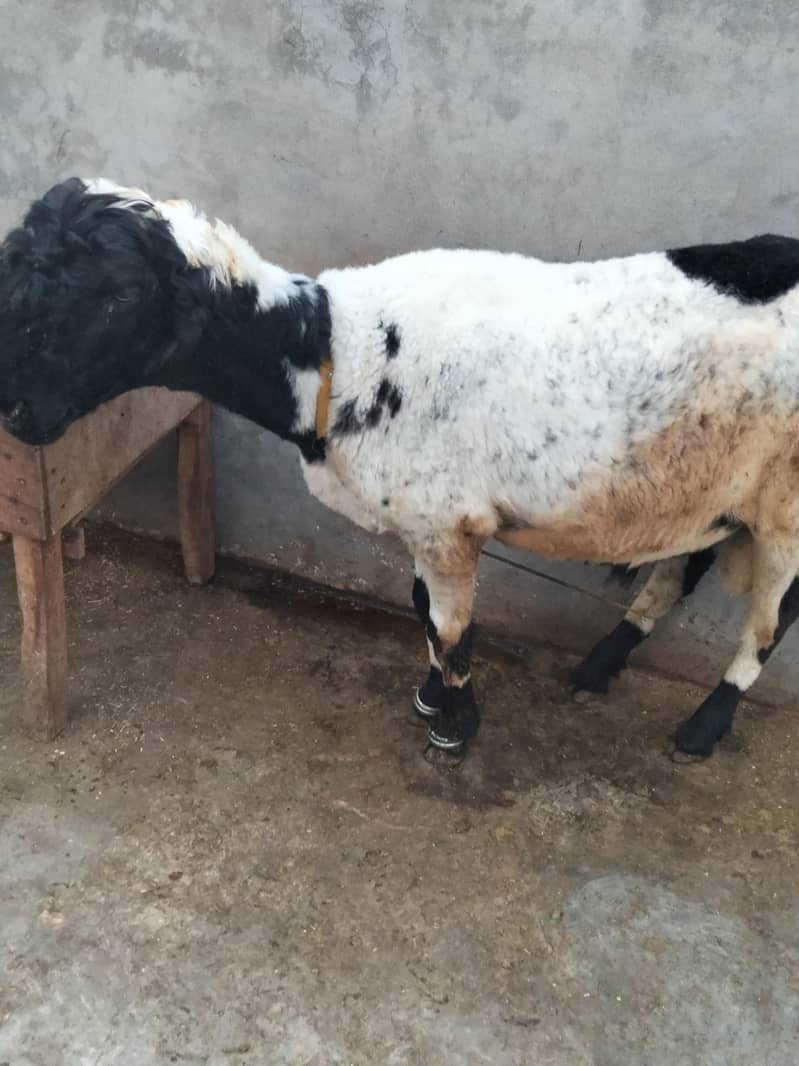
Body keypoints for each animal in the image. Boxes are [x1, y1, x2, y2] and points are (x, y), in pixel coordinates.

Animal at [3, 177, 799, 760]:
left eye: (119, 294)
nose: (17, 412)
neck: (338, 353)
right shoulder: (422, 520)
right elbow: (420, 609)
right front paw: (433, 697)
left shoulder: (448, 525)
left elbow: (450, 628)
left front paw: (455, 724)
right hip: (704, 484)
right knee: (674, 574)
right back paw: (599, 666)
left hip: (786, 503)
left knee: (771, 616)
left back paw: (704, 726)